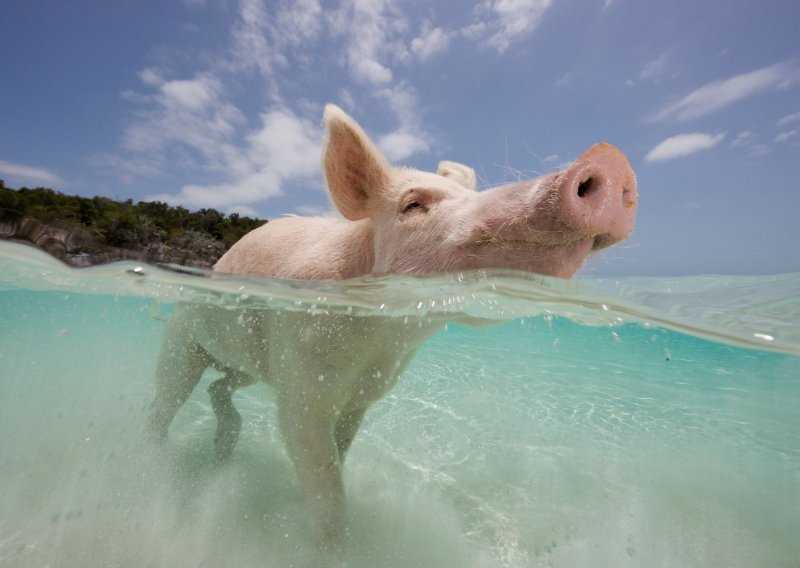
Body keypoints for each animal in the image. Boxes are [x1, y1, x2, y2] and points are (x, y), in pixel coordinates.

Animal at [148, 103, 636, 552]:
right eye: (413, 205)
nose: (610, 159)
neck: (384, 336)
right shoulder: (303, 383)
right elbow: (325, 484)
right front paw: (332, 547)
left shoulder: (363, 394)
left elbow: (340, 453)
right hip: (183, 336)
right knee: (166, 401)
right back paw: (160, 466)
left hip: (252, 364)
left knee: (220, 386)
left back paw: (223, 449)